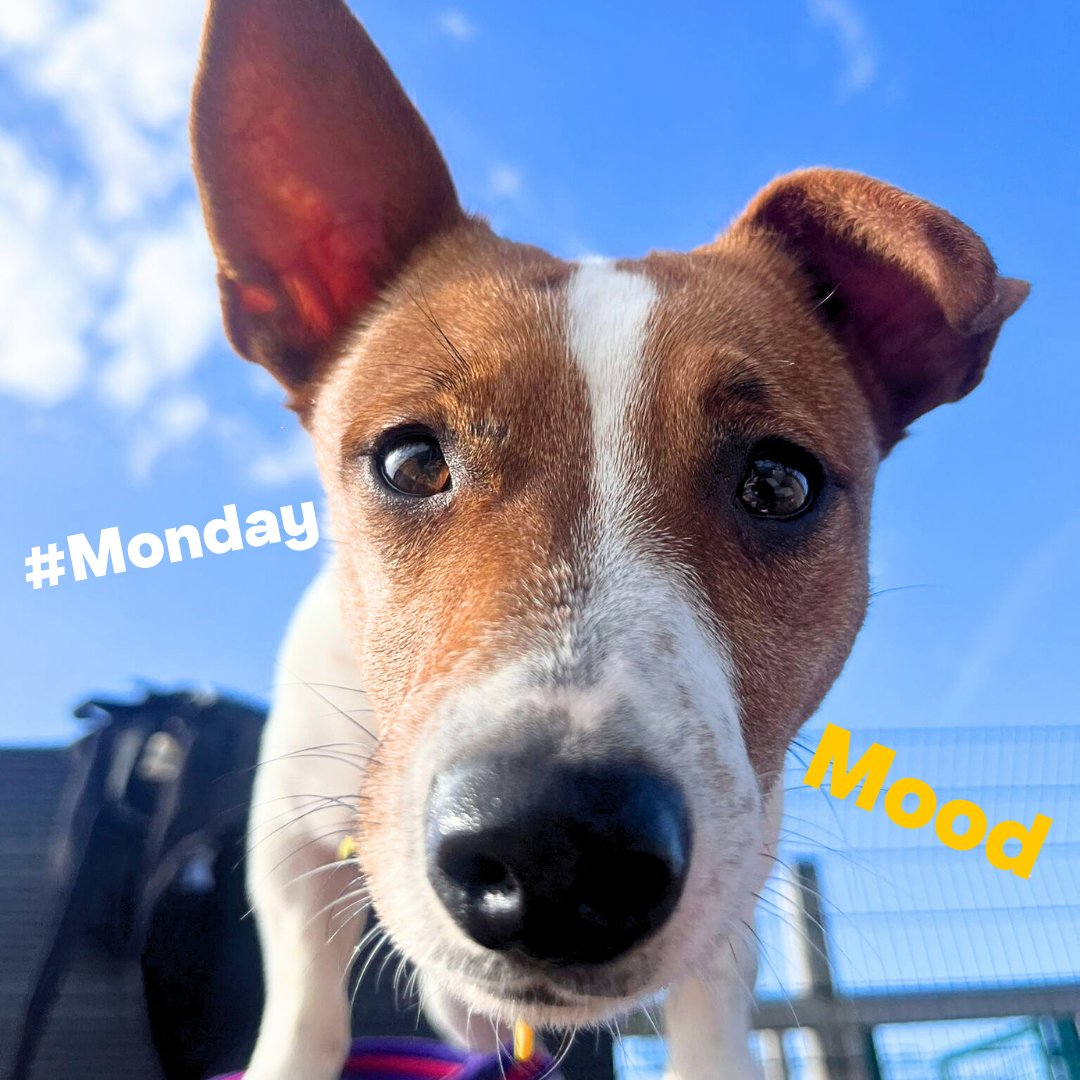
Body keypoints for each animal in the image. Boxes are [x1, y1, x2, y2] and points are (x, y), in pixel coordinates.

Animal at [190, 4, 1023, 1075]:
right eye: (409, 460)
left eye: (779, 481)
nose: (557, 847)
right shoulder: (292, 838)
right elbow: (302, 1004)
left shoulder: (739, 881)